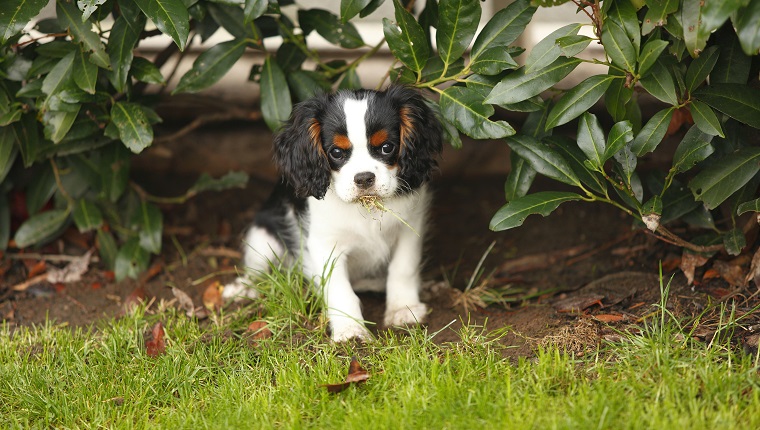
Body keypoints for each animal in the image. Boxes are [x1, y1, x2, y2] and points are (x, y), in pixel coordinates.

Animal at [223, 85, 442, 340]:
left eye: (387, 147)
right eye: (336, 152)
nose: (364, 178)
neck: (365, 207)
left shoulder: (410, 228)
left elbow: (403, 268)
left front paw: (403, 309)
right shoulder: (325, 244)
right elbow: (339, 288)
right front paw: (351, 330)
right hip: (262, 237)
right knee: (259, 270)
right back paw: (243, 288)